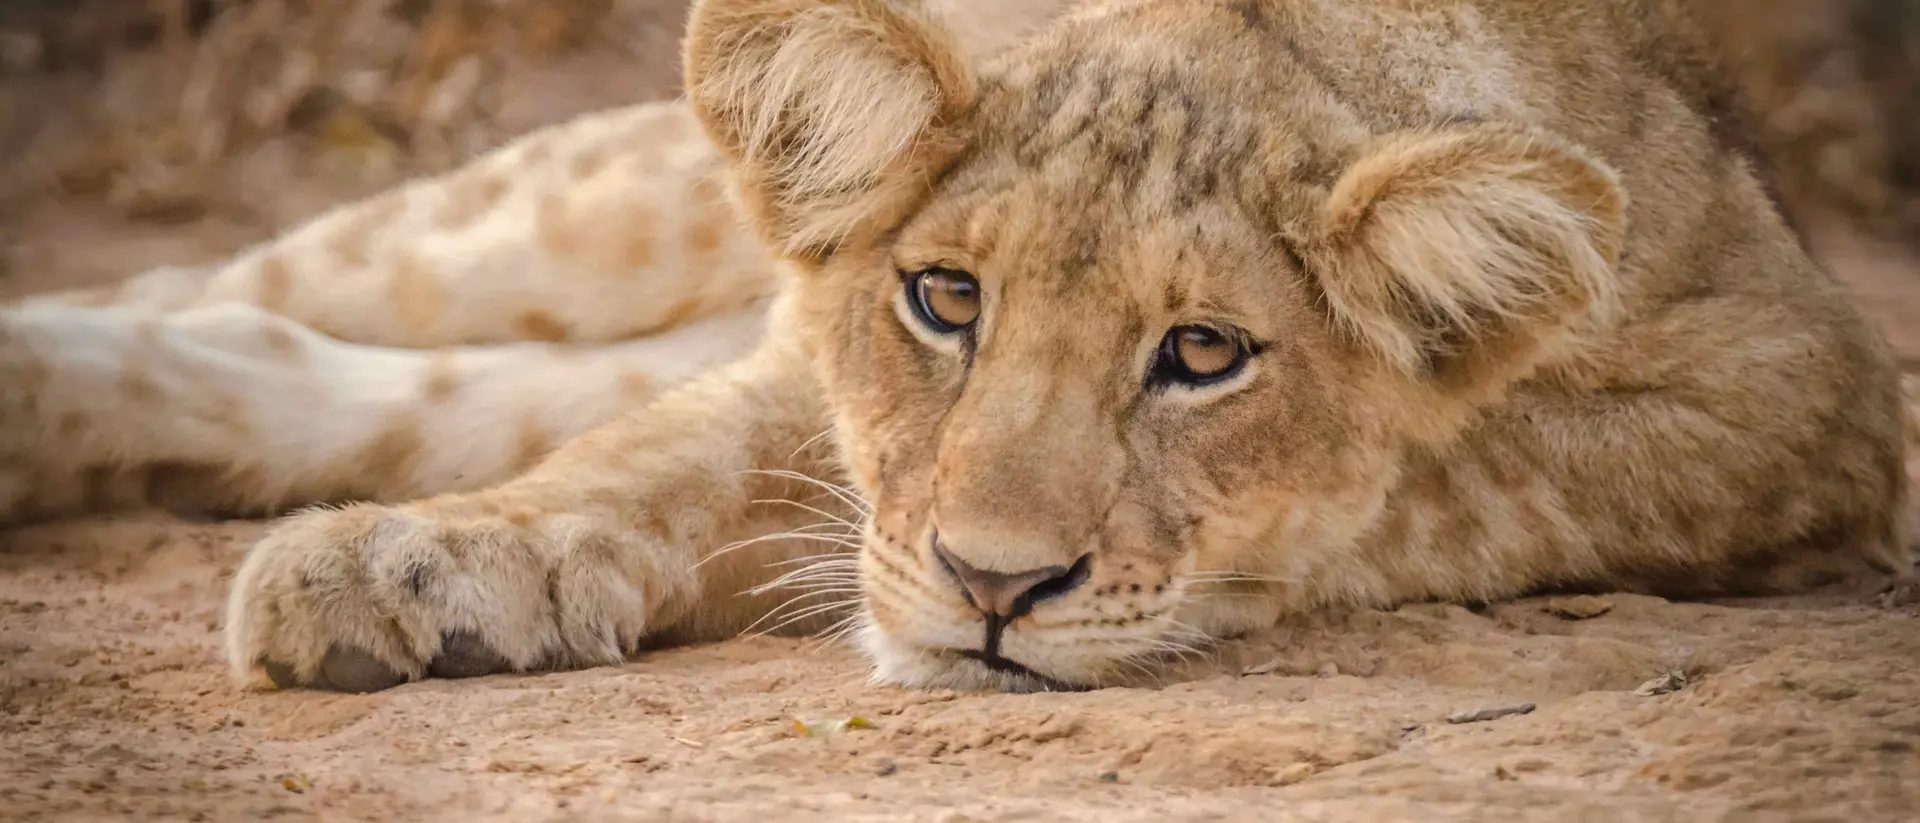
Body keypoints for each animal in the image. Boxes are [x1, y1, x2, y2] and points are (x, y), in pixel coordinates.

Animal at [1, 0, 1910, 694]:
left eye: (1203, 352)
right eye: (946, 298)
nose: (995, 589)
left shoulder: (1799, 395)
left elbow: (1446, 470)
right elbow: (687, 444)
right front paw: (436, 567)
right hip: (599, 199)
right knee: (279, 280)